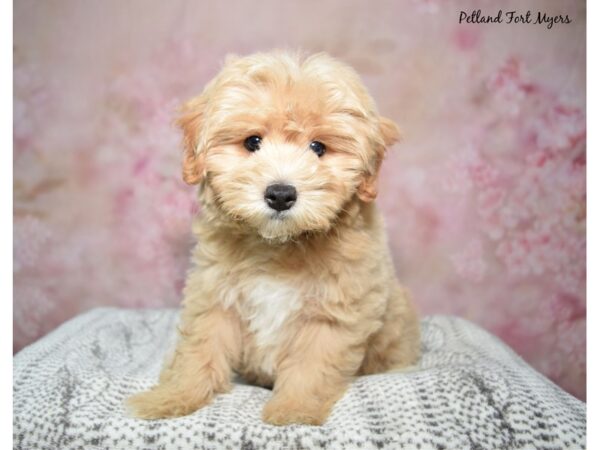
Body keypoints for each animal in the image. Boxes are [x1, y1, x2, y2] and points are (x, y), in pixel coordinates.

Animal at [130, 51, 422, 426]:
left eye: (318, 147)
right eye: (252, 142)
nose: (281, 194)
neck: (277, 244)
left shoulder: (333, 313)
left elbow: (311, 365)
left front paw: (293, 410)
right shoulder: (214, 297)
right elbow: (199, 349)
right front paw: (172, 397)